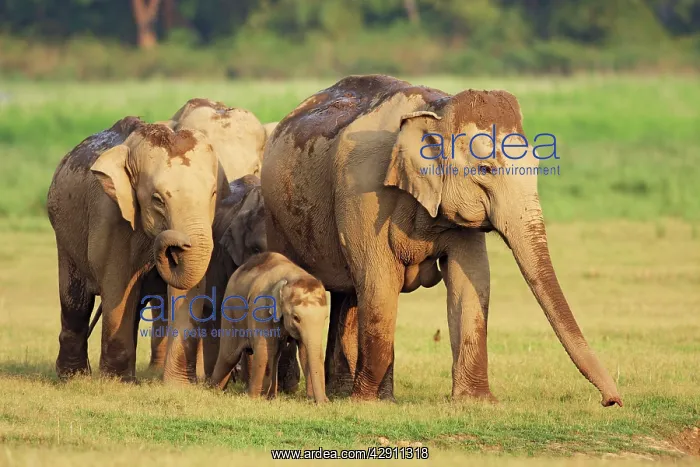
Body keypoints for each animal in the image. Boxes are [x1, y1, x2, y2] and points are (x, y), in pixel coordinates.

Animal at [47, 117, 228, 380]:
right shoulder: (111, 214)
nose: (173, 245)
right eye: (158, 200)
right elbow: (118, 283)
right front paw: (116, 382)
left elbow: (187, 289)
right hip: (64, 234)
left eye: (213, 193)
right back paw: (72, 377)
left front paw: (180, 384)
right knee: (76, 302)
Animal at [210, 252, 329, 403]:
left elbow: (305, 351)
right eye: (296, 317)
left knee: (275, 354)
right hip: (230, 311)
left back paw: (271, 397)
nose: (323, 402)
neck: (292, 276)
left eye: (325, 318)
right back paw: (211, 389)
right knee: (229, 356)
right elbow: (264, 350)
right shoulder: (261, 306)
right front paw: (253, 399)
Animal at [260, 74, 622, 406]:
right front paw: (364, 403)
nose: (612, 401)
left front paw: (476, 402)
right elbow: (380, 283)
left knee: (349, 296)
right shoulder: (360, 188)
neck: (436, 109)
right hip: (276, 219)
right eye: (486, 169)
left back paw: (356, 394)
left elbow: (472, 281)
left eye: (536, 164)